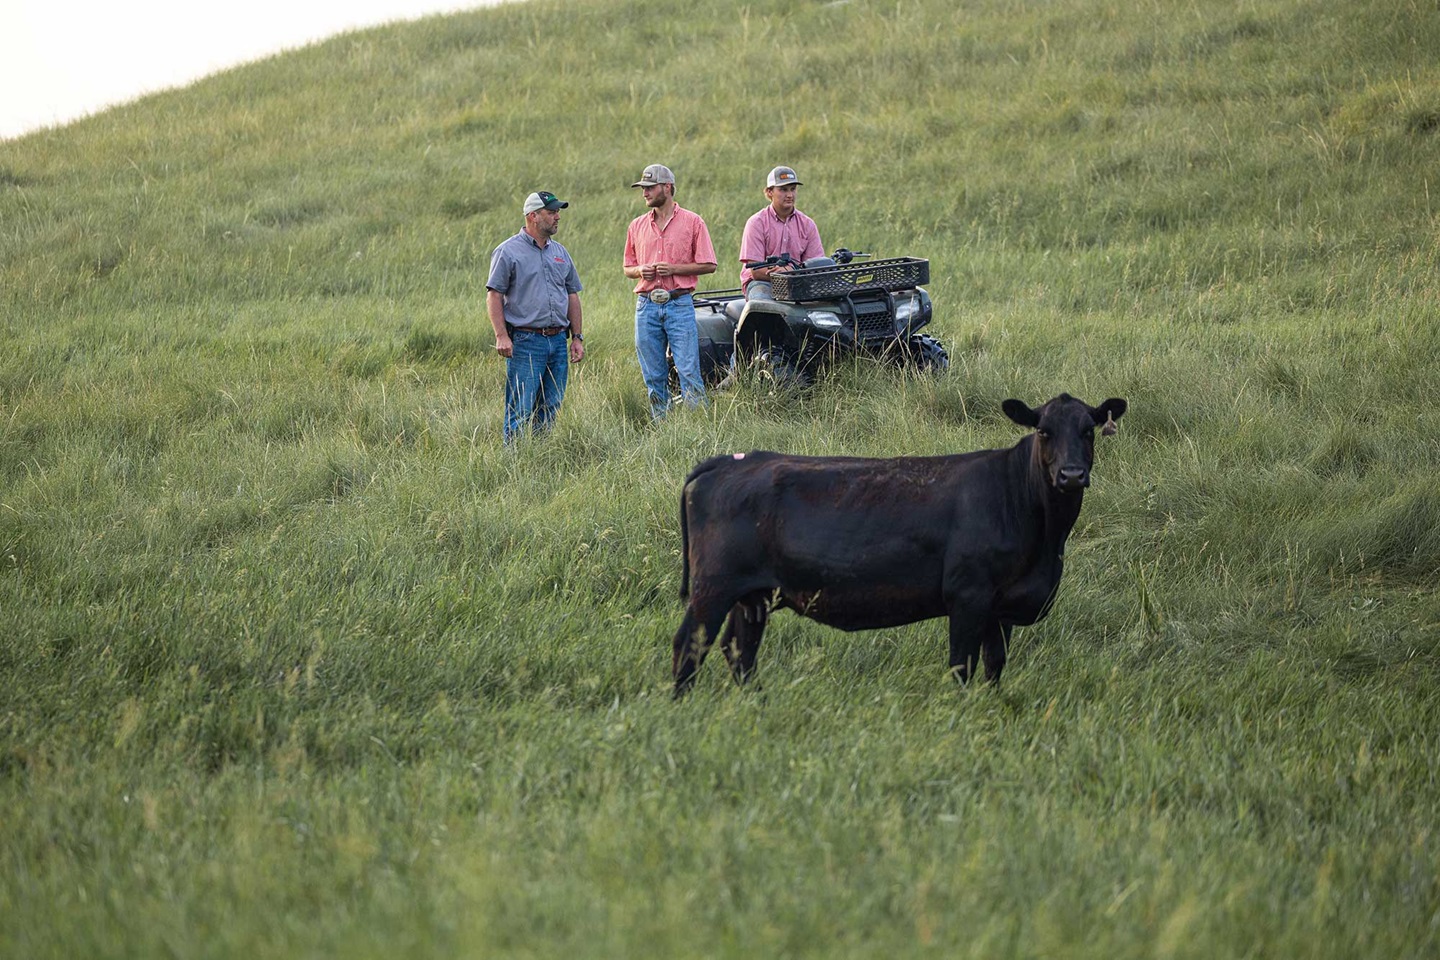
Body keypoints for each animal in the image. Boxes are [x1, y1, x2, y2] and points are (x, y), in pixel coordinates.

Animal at [668, 391, 1128, 699]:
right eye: (1044, 432)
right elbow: (962, 664)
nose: (1071, 475)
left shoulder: (1001, 607)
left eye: (1089, 431)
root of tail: (732, 460)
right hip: (714, 587)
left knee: (739, 648)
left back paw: (757, 703)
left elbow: (994, 665)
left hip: (755, 594)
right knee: (691, 644)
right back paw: (683, 706)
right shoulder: (968, 595)